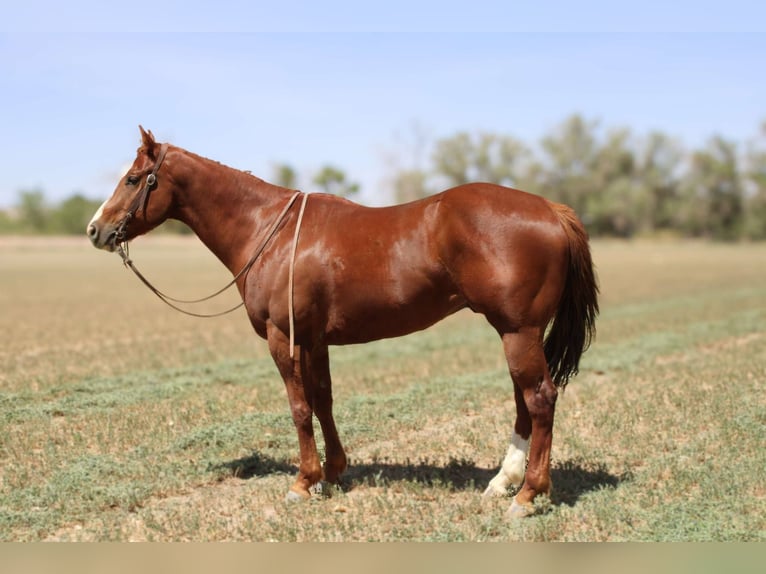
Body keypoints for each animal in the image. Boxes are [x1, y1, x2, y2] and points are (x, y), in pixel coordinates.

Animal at [87, 126, 598, 518]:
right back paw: (502, 482)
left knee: (540, 399)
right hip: (516, 333)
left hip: (518, 332)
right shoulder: (314, 339)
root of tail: (551, 210)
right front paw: (332, 473)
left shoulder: (282, 337)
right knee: (524, 401)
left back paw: (528, 495)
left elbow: (298, 407)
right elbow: (323, 400)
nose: (96, 229)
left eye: (134, 179)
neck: (266, 230)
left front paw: (302, 481)